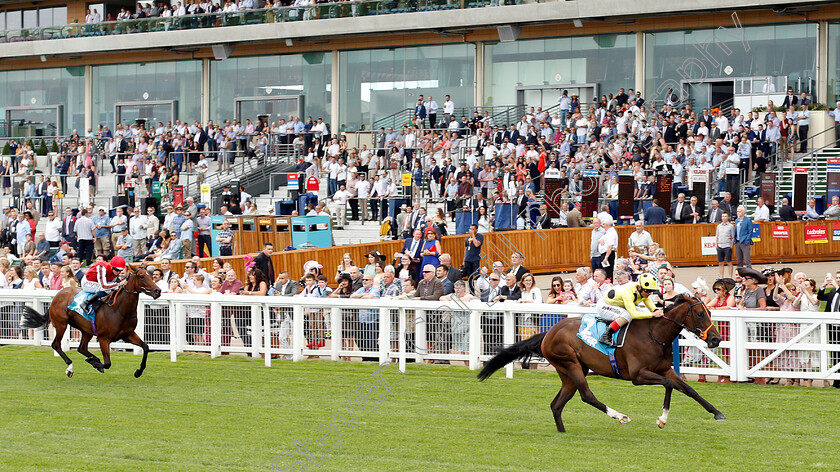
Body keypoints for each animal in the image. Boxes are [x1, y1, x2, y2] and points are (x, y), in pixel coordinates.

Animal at [20, 268, 162, 378]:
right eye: (142, 276)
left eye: (152, 276)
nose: (158, 291)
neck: (120, 309)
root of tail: (58, 295)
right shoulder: (103, 338)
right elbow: (107, 363)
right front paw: (95, 363)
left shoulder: (128, 335)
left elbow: (146, 347)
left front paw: (138, 371)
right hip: (61, 324)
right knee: (56, 344)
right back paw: (71, 367)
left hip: (86, 330)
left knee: (81, 348)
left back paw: (90, 358)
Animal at [476, 296, 724, 432]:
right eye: (700, 313)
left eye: (710, 312)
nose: (716, 339)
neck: (654, 334)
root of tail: (548, 333)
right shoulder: (638, 376)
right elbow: (669, 385)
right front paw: (661, 420)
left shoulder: (665, 369)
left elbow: (689, 389)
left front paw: (717, 413)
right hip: (571, 364)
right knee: (587, 396)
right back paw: (620, 416)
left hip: (569, 372)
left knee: (557, 404)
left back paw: (562, 432)